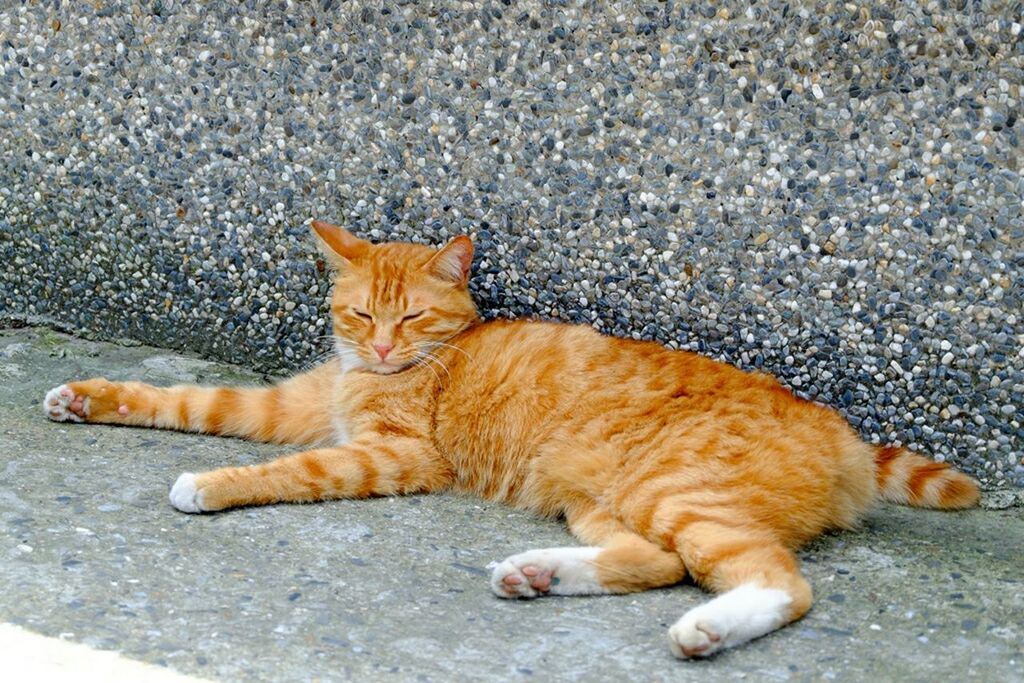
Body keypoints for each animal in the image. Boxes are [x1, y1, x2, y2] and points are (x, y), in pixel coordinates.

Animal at [44, 220, 978, 655]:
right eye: (362, 313)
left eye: (412, 316)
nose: (381, 348)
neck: (383, 372)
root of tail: (842, 431)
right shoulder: (289, 403)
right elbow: (191, 399)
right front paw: (87, 397)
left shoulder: (393, 453)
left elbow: (289, 469)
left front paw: (209, 484)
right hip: (603, 499)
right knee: (658, 561)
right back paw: (540, 573)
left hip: (676, 491)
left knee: (778, 583)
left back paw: (708, 630)